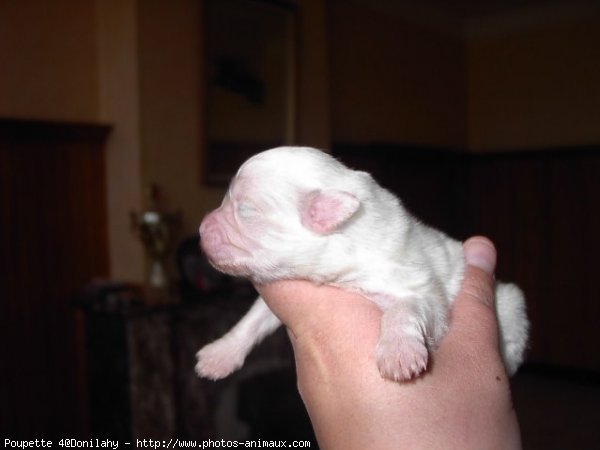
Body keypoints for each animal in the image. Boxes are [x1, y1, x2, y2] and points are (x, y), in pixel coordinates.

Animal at [195, 146, 528, 382]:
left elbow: (404, 310)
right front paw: (219, 354)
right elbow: (253, 319)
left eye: (245, 210)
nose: (200, 228)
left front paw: (399, 353)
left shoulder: (420, 287)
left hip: (511, 304)